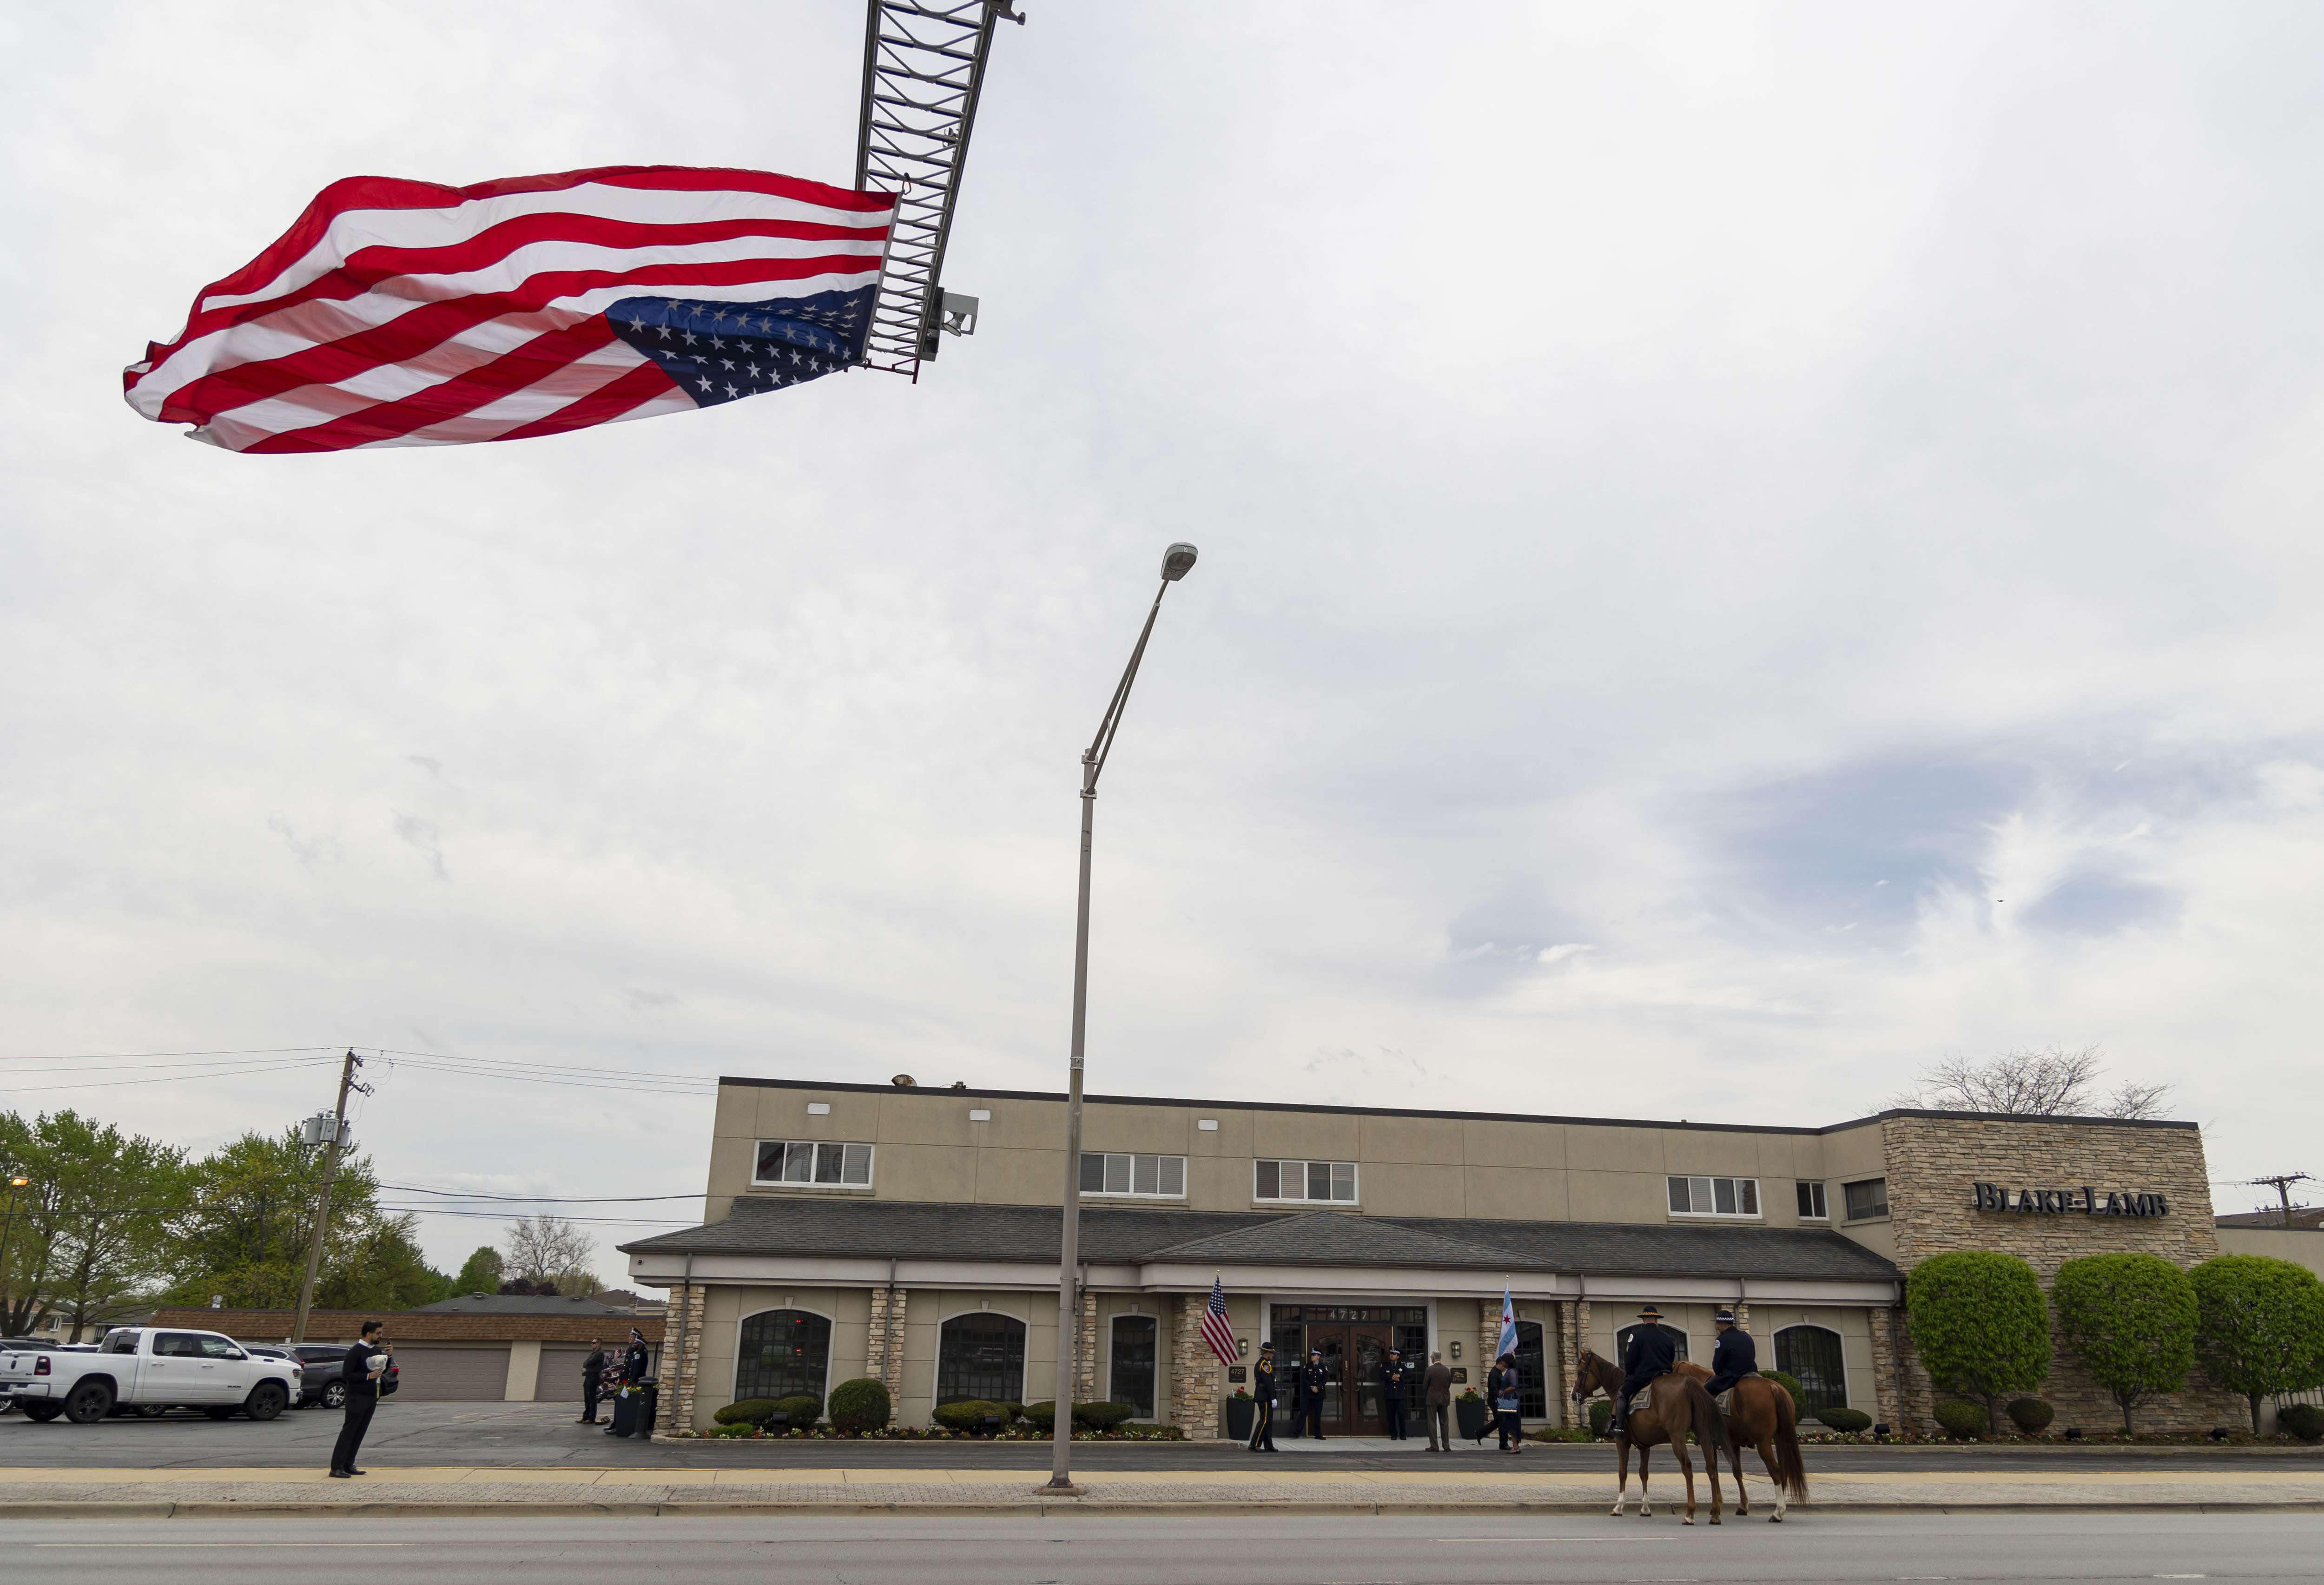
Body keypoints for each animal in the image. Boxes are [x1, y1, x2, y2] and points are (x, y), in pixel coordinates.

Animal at [1571, 1348, 1738, 1515]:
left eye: (1579, 1372)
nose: (1573, 1395)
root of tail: (1689, 1383)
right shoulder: (1644, 1446)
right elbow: (1644, 1473)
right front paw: (1645, 1507)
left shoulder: (1622, 1442)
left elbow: (1623, 1472)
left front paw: (1619, 1506)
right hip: (1704, 1435)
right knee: (1712, 1466)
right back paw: (1715, 1511)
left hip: (1678, 1438)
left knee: (1687, 1467)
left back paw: (1691, 1513)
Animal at [1692, 1348, 1813, 1515]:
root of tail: (1773, 1387)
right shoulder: (1734, 1443)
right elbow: (1737, 1472)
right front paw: (1742, 1505)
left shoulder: (1710, 1442)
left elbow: (1713, 1470)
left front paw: (1716, 1506)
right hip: (1781, 1438)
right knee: (1783, 1468)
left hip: (1763, 1442)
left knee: (1775, 1469)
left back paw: (1778, 1511)